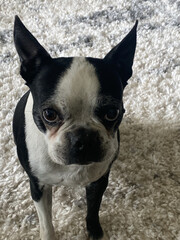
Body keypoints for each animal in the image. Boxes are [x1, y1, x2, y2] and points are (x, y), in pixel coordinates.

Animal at [13, 15, 138, 239]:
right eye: (49, 114)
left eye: (112, 113)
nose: (84, 138)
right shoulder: (38, 185)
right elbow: (46, 221)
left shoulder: (99, 181)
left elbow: (93, 210)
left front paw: (94, 231)